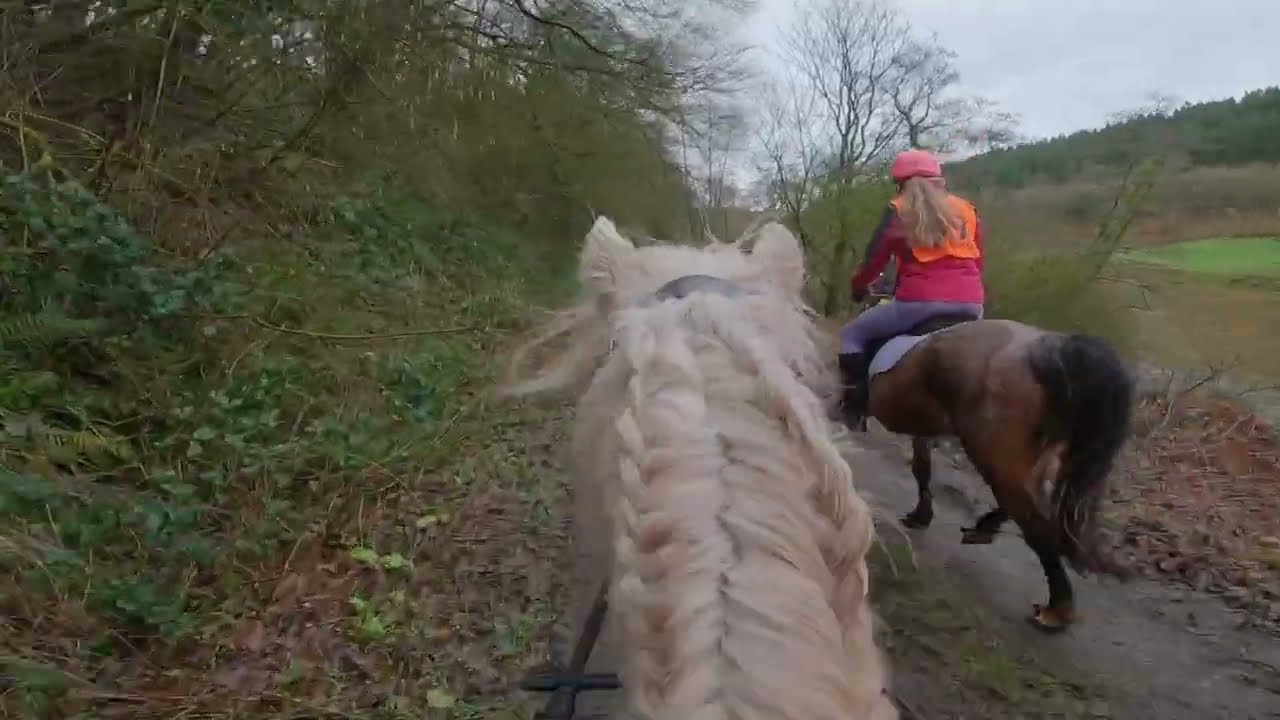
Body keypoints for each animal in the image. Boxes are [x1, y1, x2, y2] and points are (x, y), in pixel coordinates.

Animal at [847, 292, 1135, 633]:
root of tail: (1049, 351)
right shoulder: (926, 428)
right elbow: (922, 468)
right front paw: (921, 514)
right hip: (1032, 456)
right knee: (1027, 503)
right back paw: (987, 528)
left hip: (993, 452)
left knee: (1034, 522)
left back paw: (1056, 609)